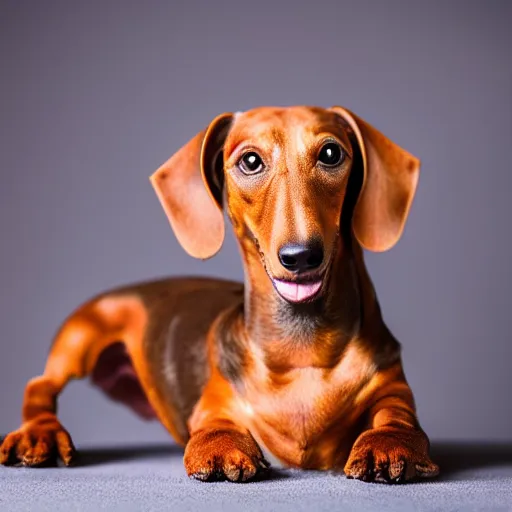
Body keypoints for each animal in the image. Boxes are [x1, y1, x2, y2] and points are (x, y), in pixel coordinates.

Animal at [0, 106, 440, 482]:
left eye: (331, 153)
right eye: (250, 161)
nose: (301, 256)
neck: (303, 346)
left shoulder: (393, 390)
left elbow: (396, 418)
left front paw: (388, 443)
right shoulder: (215, 402)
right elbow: (214, 424)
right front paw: (221, 446)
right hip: (82, 333)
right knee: (39, 385)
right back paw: (38, 434)